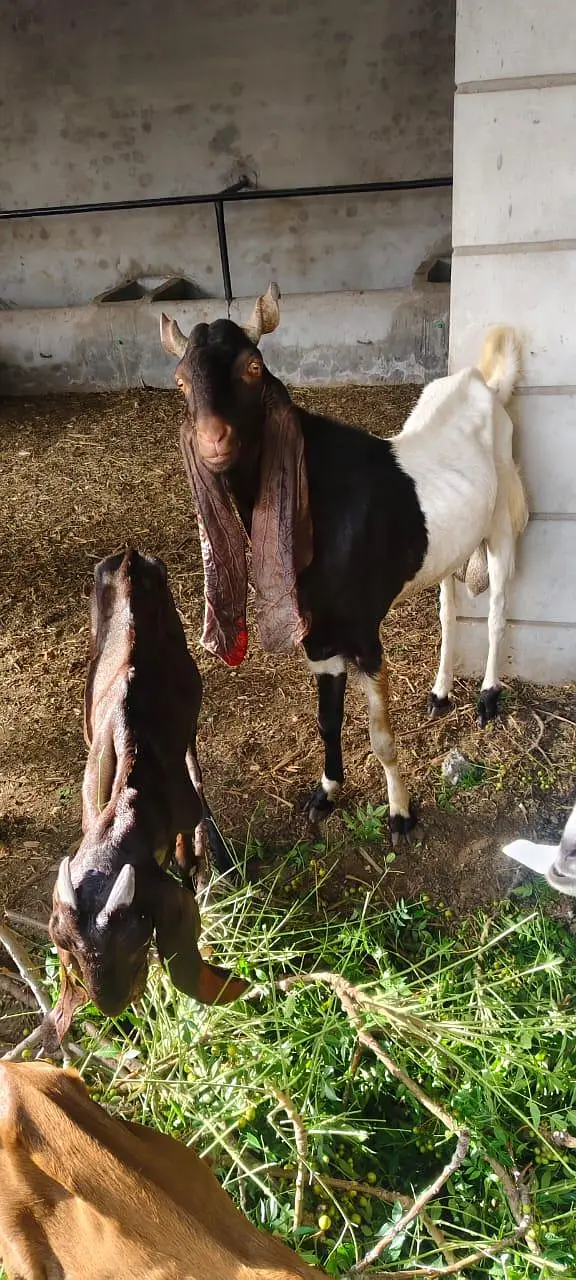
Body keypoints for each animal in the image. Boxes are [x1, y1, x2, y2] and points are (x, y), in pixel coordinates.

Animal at [47, 547, 246, 1042]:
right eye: (72, 953)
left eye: (138, 944)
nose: (115, 1005)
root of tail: (129, 555)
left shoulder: (180, 808)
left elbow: (187, 842)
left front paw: (196, 867)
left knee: (192, 745)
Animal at [159, 287, 528, 840]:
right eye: (181, 380)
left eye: (252, 366)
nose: (213, 441)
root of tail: (482, 381)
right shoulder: (319, 638)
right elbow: (326, 720)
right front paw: (326, 793)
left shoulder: (362, 633)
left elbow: (379, 734)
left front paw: (400, 814)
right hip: (450, 547)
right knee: (448, 610)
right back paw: (440, 693)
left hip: (501, 519)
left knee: (499, 607)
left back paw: (488, 697)